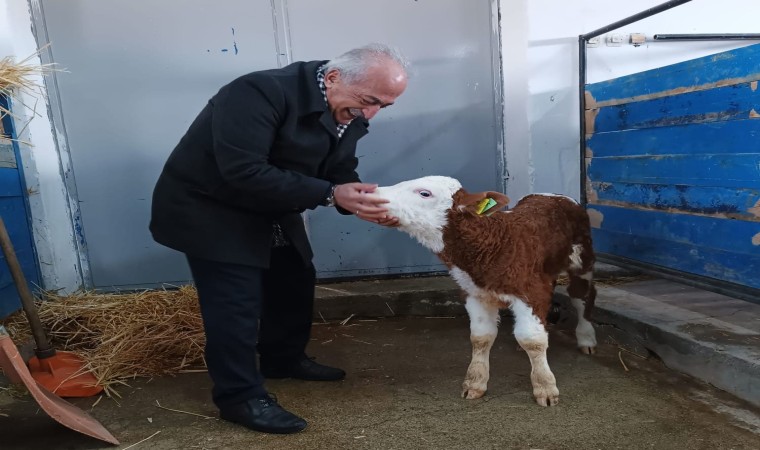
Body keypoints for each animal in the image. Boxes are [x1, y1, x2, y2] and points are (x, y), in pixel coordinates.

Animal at [378, 177, 596, 408]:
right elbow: (481, 337)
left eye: (424, 193)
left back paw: (587, 339)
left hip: (582, 258)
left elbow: (532, 339)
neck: (493, 243)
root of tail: (554, 194)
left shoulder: (529, 291)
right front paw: (475, 383)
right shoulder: (474, 293)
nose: (374, 194)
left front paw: (545, 387)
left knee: (582, 296)